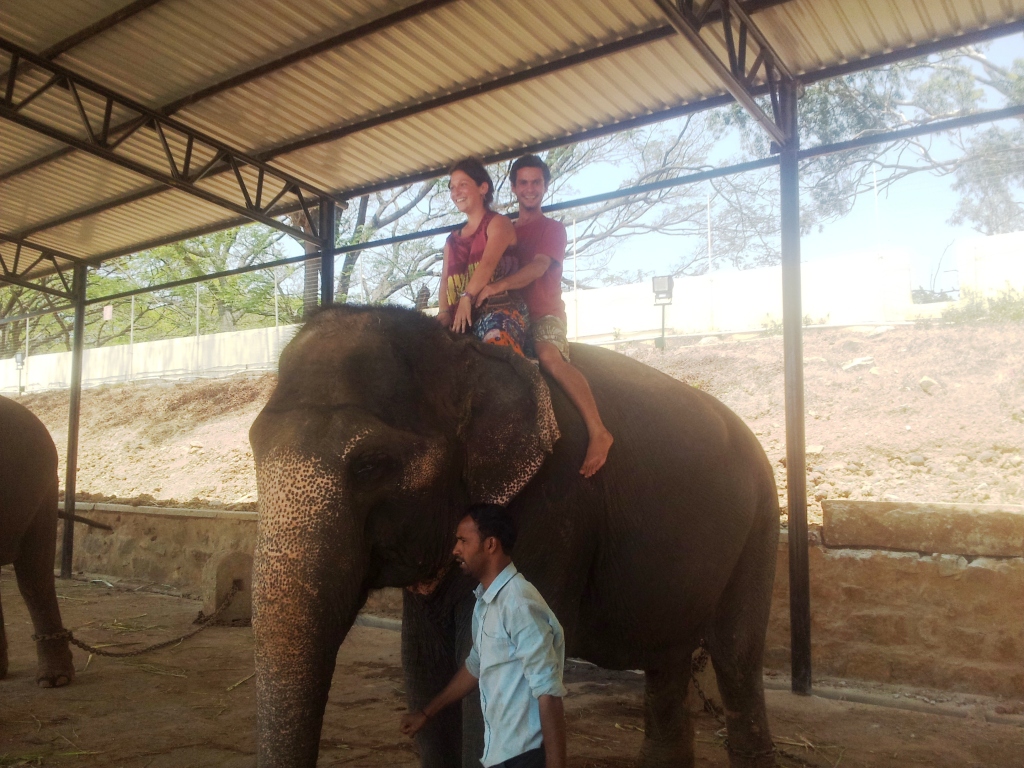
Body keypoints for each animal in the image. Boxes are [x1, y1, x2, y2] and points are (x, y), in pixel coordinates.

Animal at [250, 305, 779, 768]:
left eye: (370, 465)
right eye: (255, 448)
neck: (463, 353)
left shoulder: (555, 504)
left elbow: (483, 671)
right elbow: (424, 665)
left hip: (762, 523)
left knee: (736, 657)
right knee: (667, 658)